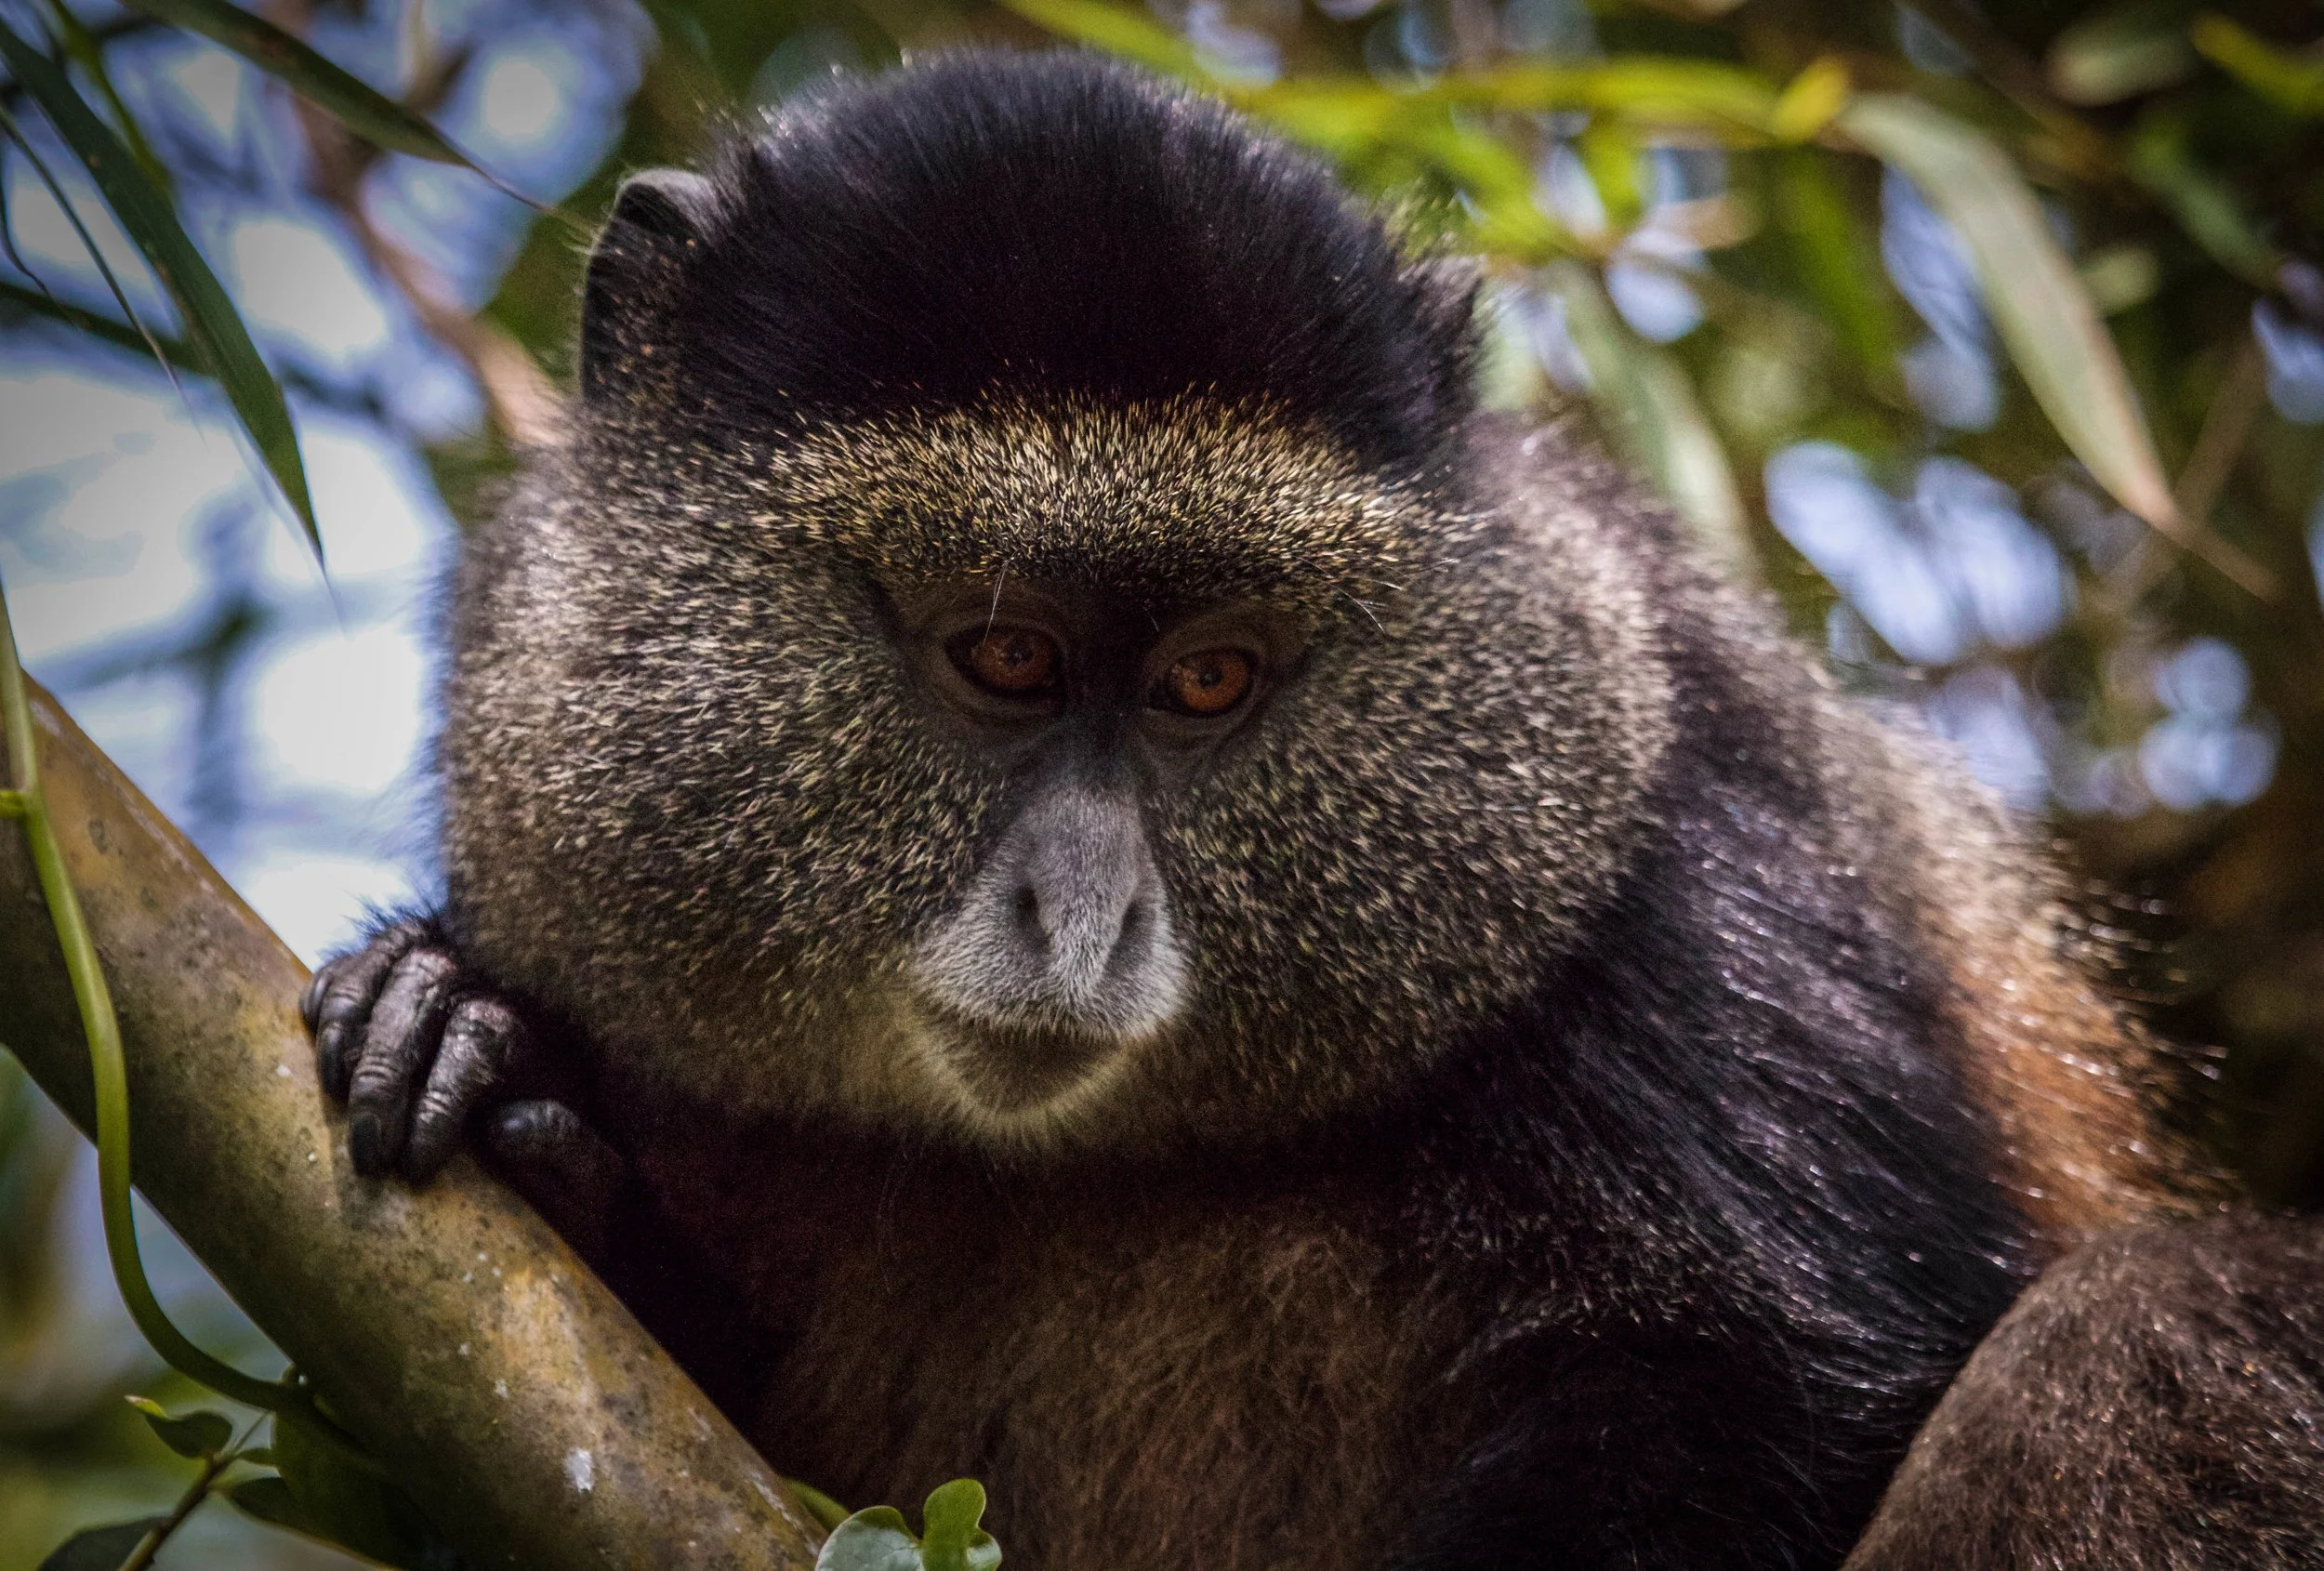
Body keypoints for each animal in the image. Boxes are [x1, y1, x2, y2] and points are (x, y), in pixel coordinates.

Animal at [297, 49, 2322, 1571]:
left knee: (2153, 1333)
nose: (1080, 916)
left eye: (1210, 681)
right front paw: (476, 1039)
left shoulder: (1680, 857)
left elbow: (1753, 1383)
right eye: (1004, 654)